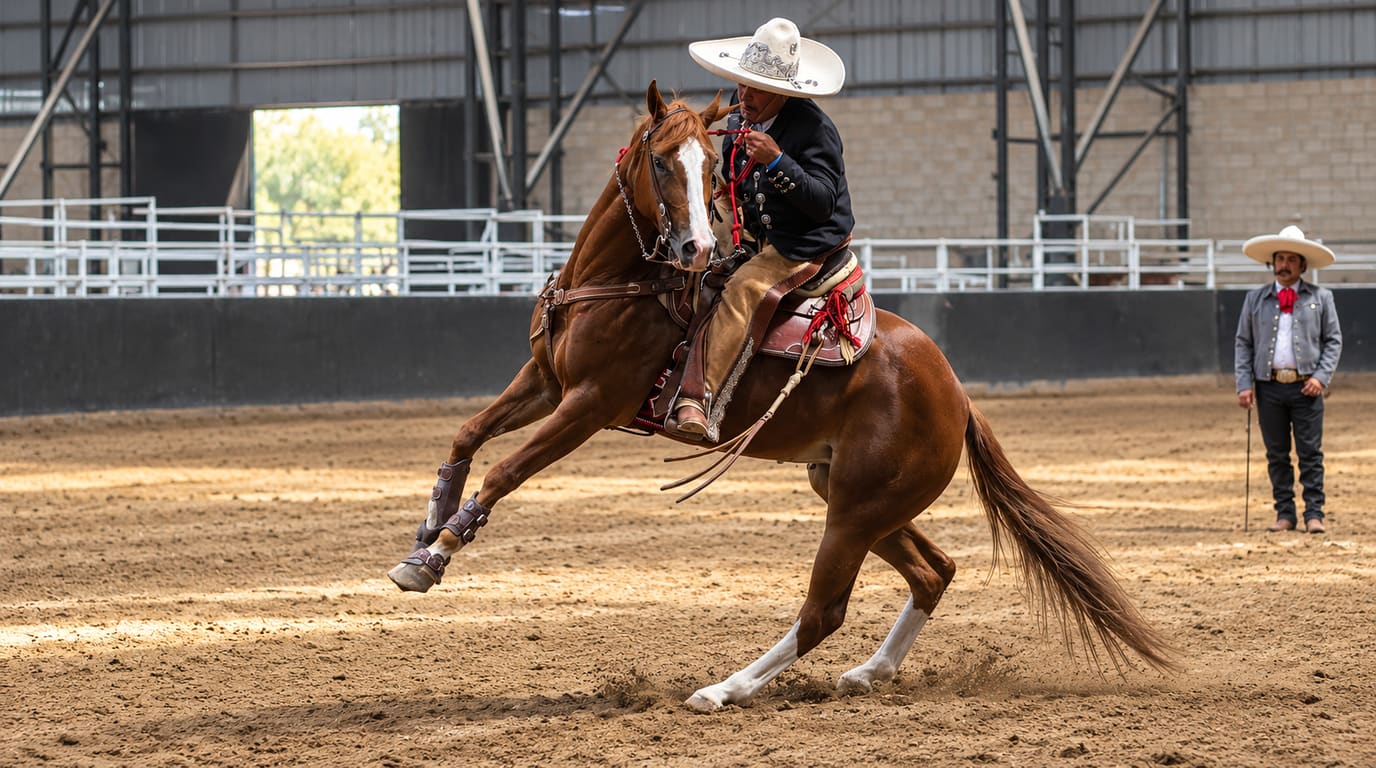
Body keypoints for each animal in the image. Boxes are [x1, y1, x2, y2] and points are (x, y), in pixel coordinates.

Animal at [387, 81, 1176, 712]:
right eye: (660, 160)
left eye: (712, 167)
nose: (697, 251)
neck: (619, 283)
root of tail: (955, 392)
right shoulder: (543, 379)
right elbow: (467, 435)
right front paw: (426, 528)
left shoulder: (588, 405)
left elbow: (506, 469)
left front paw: (434, 559)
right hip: (857, 495)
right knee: (934, 570)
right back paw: (867, 674)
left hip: (856, 509)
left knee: (824, 610)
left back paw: (722, 689)